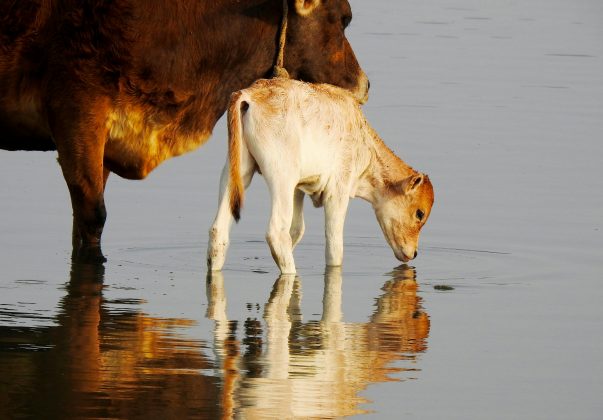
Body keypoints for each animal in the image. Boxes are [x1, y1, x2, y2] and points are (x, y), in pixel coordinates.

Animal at [209, 78, 434, 276]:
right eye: (419, 213)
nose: (414, 253)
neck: (364, 144)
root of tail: (249, 94)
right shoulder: (338, 192)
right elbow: (335, 249)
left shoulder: (298, 189)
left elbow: (297, 230)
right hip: (282, 177)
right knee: (277, 233)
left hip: (236, 173)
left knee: (218, 231)